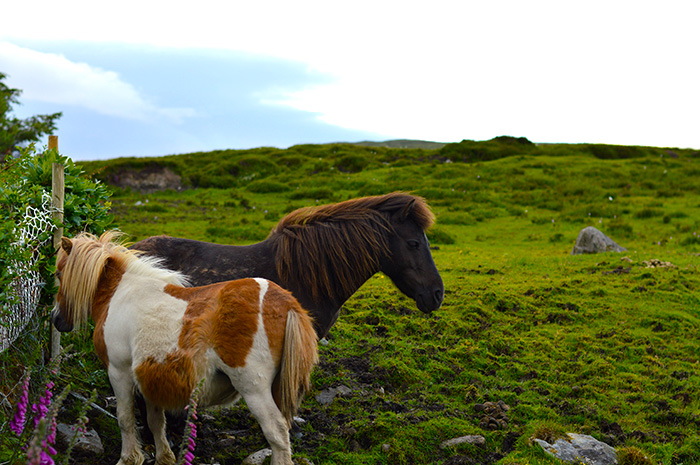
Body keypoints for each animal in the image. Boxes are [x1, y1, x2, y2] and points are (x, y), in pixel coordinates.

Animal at [51, 231, 318, 465]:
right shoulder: (150, 377)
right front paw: (164, 457)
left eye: (59, 273)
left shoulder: (119, 372)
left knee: (277, 433)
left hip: (254, 389)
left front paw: (128, 459)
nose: (56, 320)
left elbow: (125, 419)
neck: (119, 293)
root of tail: (286, 302)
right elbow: (155, 421)